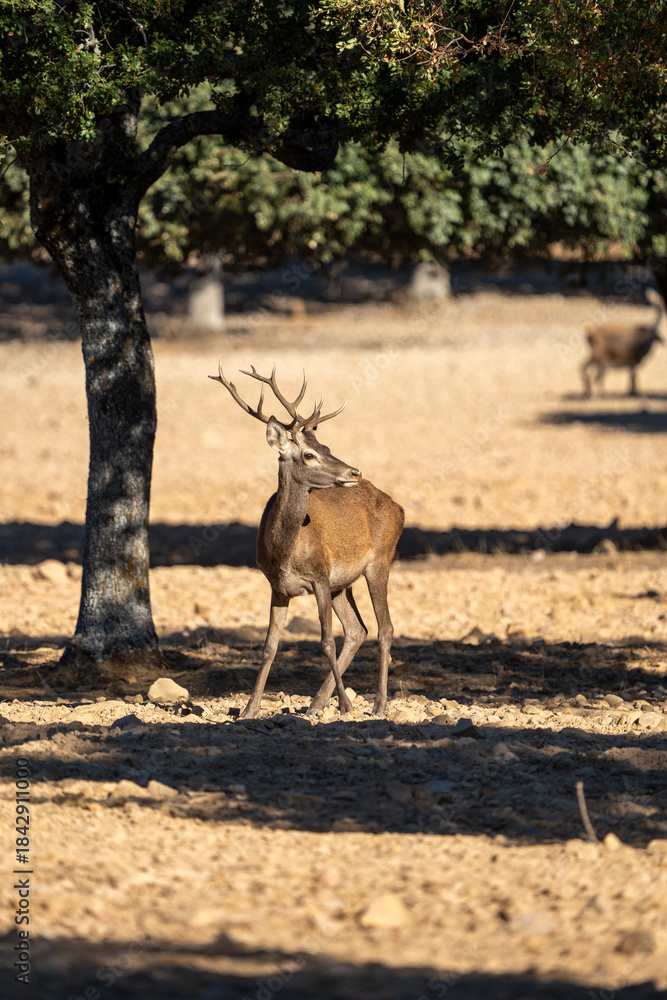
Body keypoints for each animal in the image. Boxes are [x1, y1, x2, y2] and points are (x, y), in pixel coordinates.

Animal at [209, 363, 405, 719]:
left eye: (328, 447)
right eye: (311, 453)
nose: (354, 472)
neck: (284, 551)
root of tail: (398, 507)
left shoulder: (319, 576)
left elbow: (326, 640)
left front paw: (346, 704)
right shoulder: (277, 585)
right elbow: (269, 645)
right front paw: (249, 709)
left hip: (380, 561)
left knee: (385, 628)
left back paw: (379, 704)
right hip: (344, 583)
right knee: (358, 630)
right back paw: (316, 703)